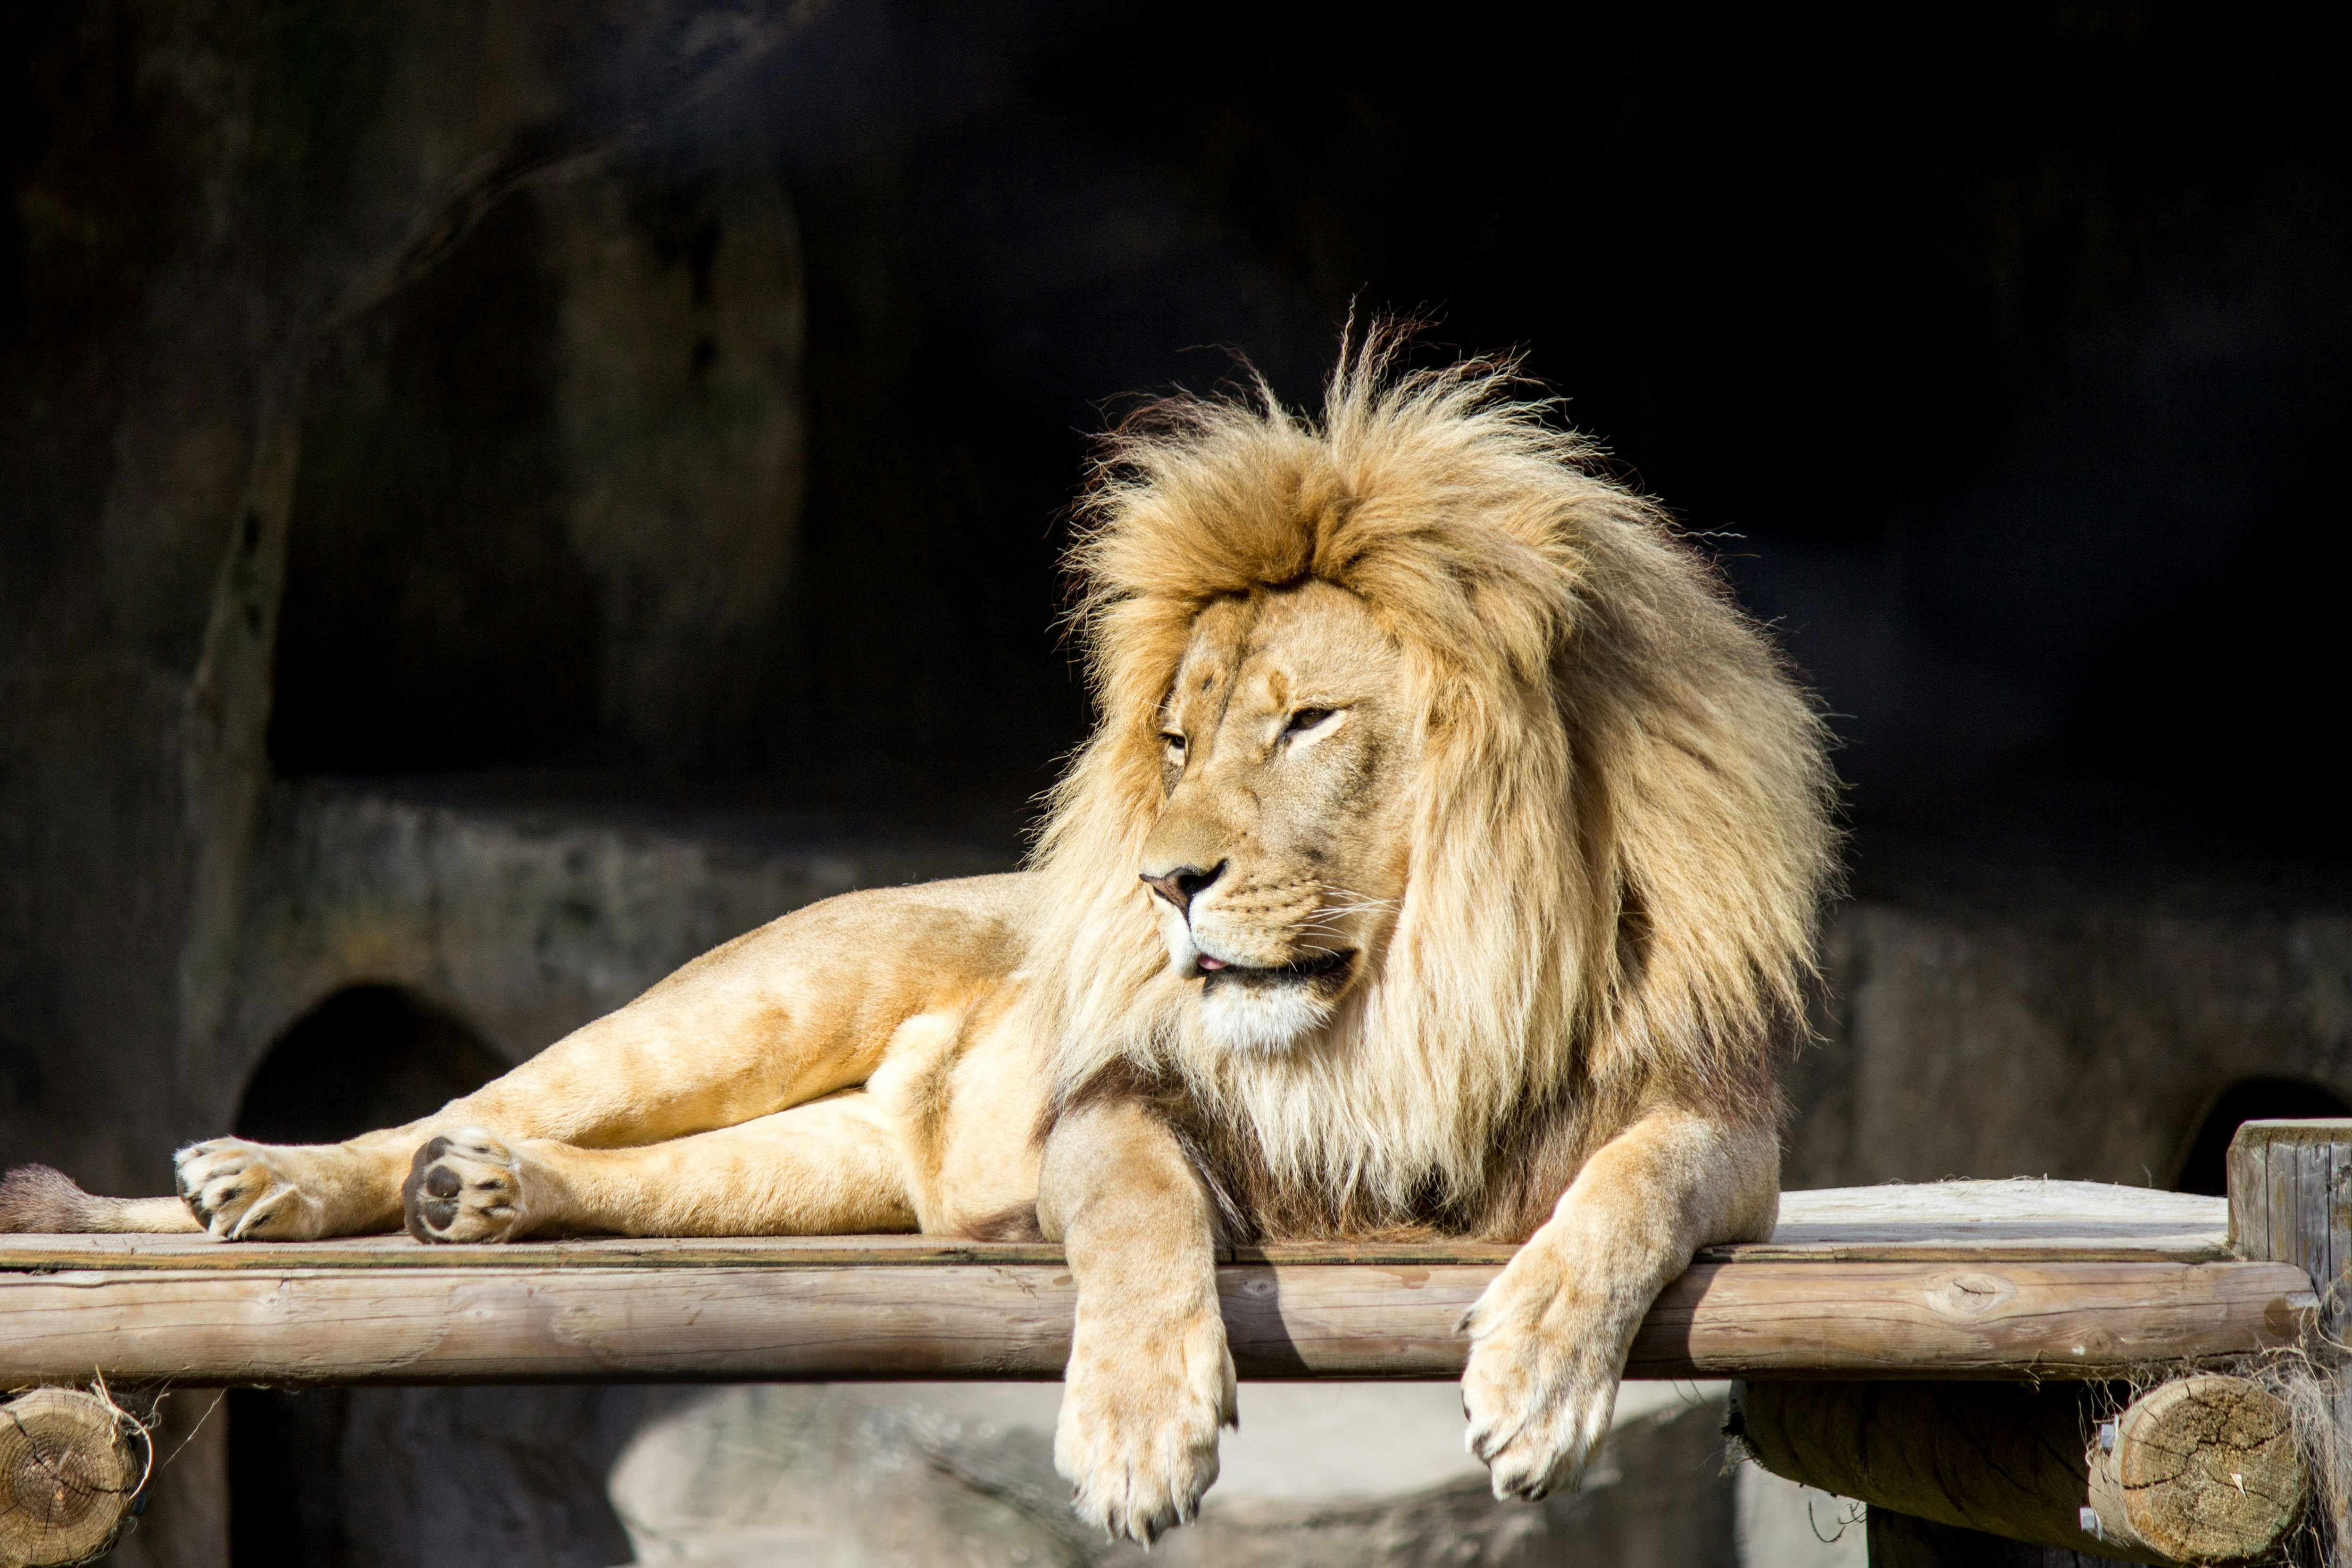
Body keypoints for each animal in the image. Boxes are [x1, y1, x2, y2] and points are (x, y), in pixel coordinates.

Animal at [0, 334, 1835, 1542]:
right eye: (1179, 738)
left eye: (1307, 721)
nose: (1164, 882)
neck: (1407, 1001)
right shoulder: (1110, 1106)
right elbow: (1145, 1216)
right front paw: (1134, 1436)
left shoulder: (1720, 1130)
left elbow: (1624, 1196)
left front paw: (1536, 1377)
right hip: (744, 998)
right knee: (483, 1094)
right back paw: (276, 1178)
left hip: (821, 1168)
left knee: (629, 1171)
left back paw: (492, 1196)